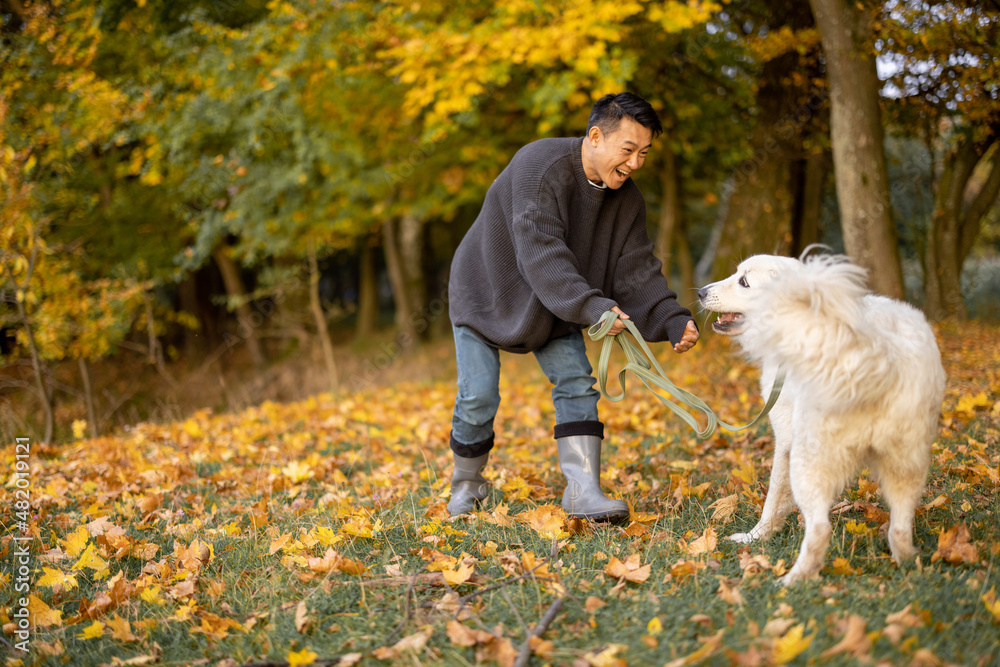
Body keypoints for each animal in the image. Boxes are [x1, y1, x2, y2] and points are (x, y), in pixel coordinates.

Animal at [696, 256, 944, 584]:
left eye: (744, 282)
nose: (700, 292)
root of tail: (877, 353)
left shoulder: (785, 441)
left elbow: (773, 498)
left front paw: (755, 537)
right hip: (906, 464)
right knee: (900, 529)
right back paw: (909, 567)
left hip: (809, 461)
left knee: (819, 529)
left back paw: (791, 580)